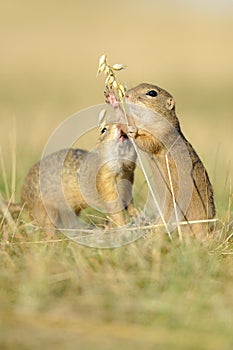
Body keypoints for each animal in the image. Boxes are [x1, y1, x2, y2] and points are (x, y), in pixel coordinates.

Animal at [106, 82, 216, 238]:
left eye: (152, 93)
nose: (126, 95)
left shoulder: (161, 134)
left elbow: (148, 142)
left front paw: (132, 131)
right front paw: (113, 100)